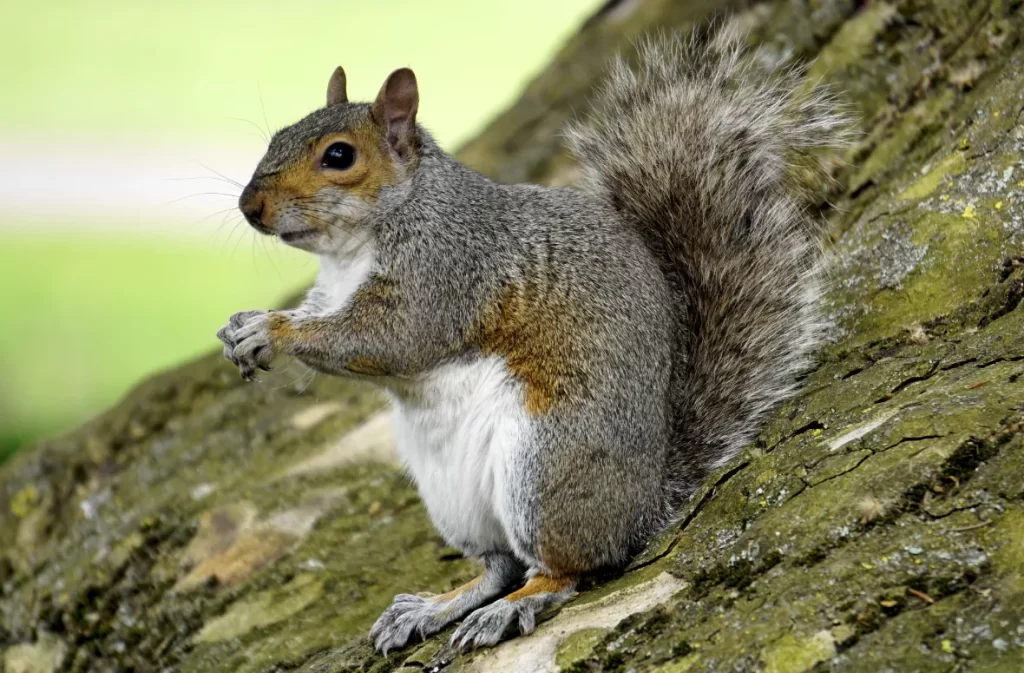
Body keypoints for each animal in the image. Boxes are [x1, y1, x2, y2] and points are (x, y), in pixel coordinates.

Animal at [216, 30, 847, 651]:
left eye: (339, 156)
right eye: (278, 135)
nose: (250, 206)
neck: (357, 245)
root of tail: (645, 504)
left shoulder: (445, 273)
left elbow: (388, 339)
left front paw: (273, 332)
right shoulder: (333, 291)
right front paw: (242, 326)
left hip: (545, 467)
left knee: (565, 569)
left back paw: (512, 607)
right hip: (455, 500)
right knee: (500, 566)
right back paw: (436, 606)